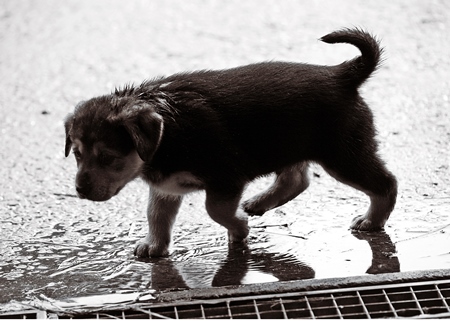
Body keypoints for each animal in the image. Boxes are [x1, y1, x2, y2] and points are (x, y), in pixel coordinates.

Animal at [64, 28, 398, 258]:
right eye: (77, 155)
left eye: (108, 157)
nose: (80, 190)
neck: (167, 132)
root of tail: (342, 74)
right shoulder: (166, 187)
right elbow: (156, 215)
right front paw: (154, 246)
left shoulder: (225, 177)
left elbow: (215, 209)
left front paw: (239, 228)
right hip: (288, 142)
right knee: (297, 178)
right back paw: (260, 202)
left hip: (343, 155)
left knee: (386, 183)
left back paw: (372, 220)